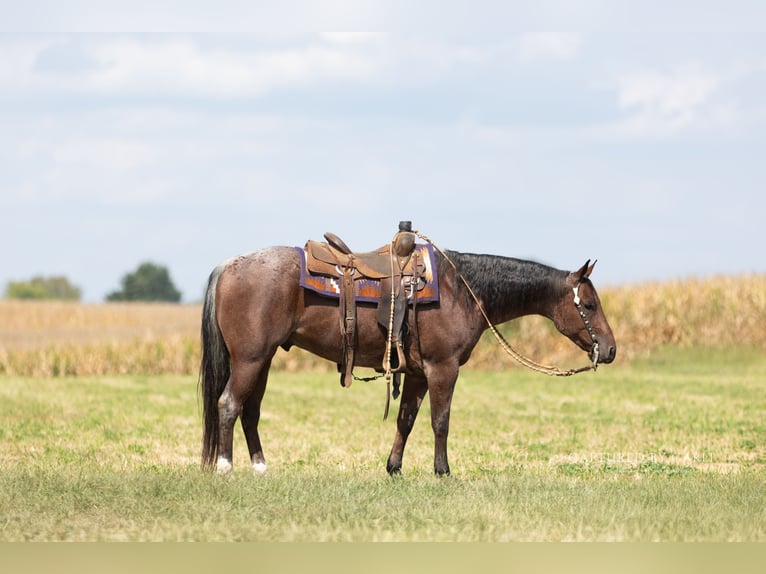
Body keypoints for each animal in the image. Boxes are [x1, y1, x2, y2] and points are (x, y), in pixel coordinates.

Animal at [199, 244, 616, 476]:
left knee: (250, 411)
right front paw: (443, 471)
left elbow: (407, 420)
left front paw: (394, 468)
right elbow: (440, 422)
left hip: (263, 360)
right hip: (250, 359)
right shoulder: (443, 368)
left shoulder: (417, 373)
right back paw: (225, 468)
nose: (611, 349)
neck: (461, 289)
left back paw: (260, 467)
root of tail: (228, 266)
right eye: (588, 305)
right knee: (228, 405)